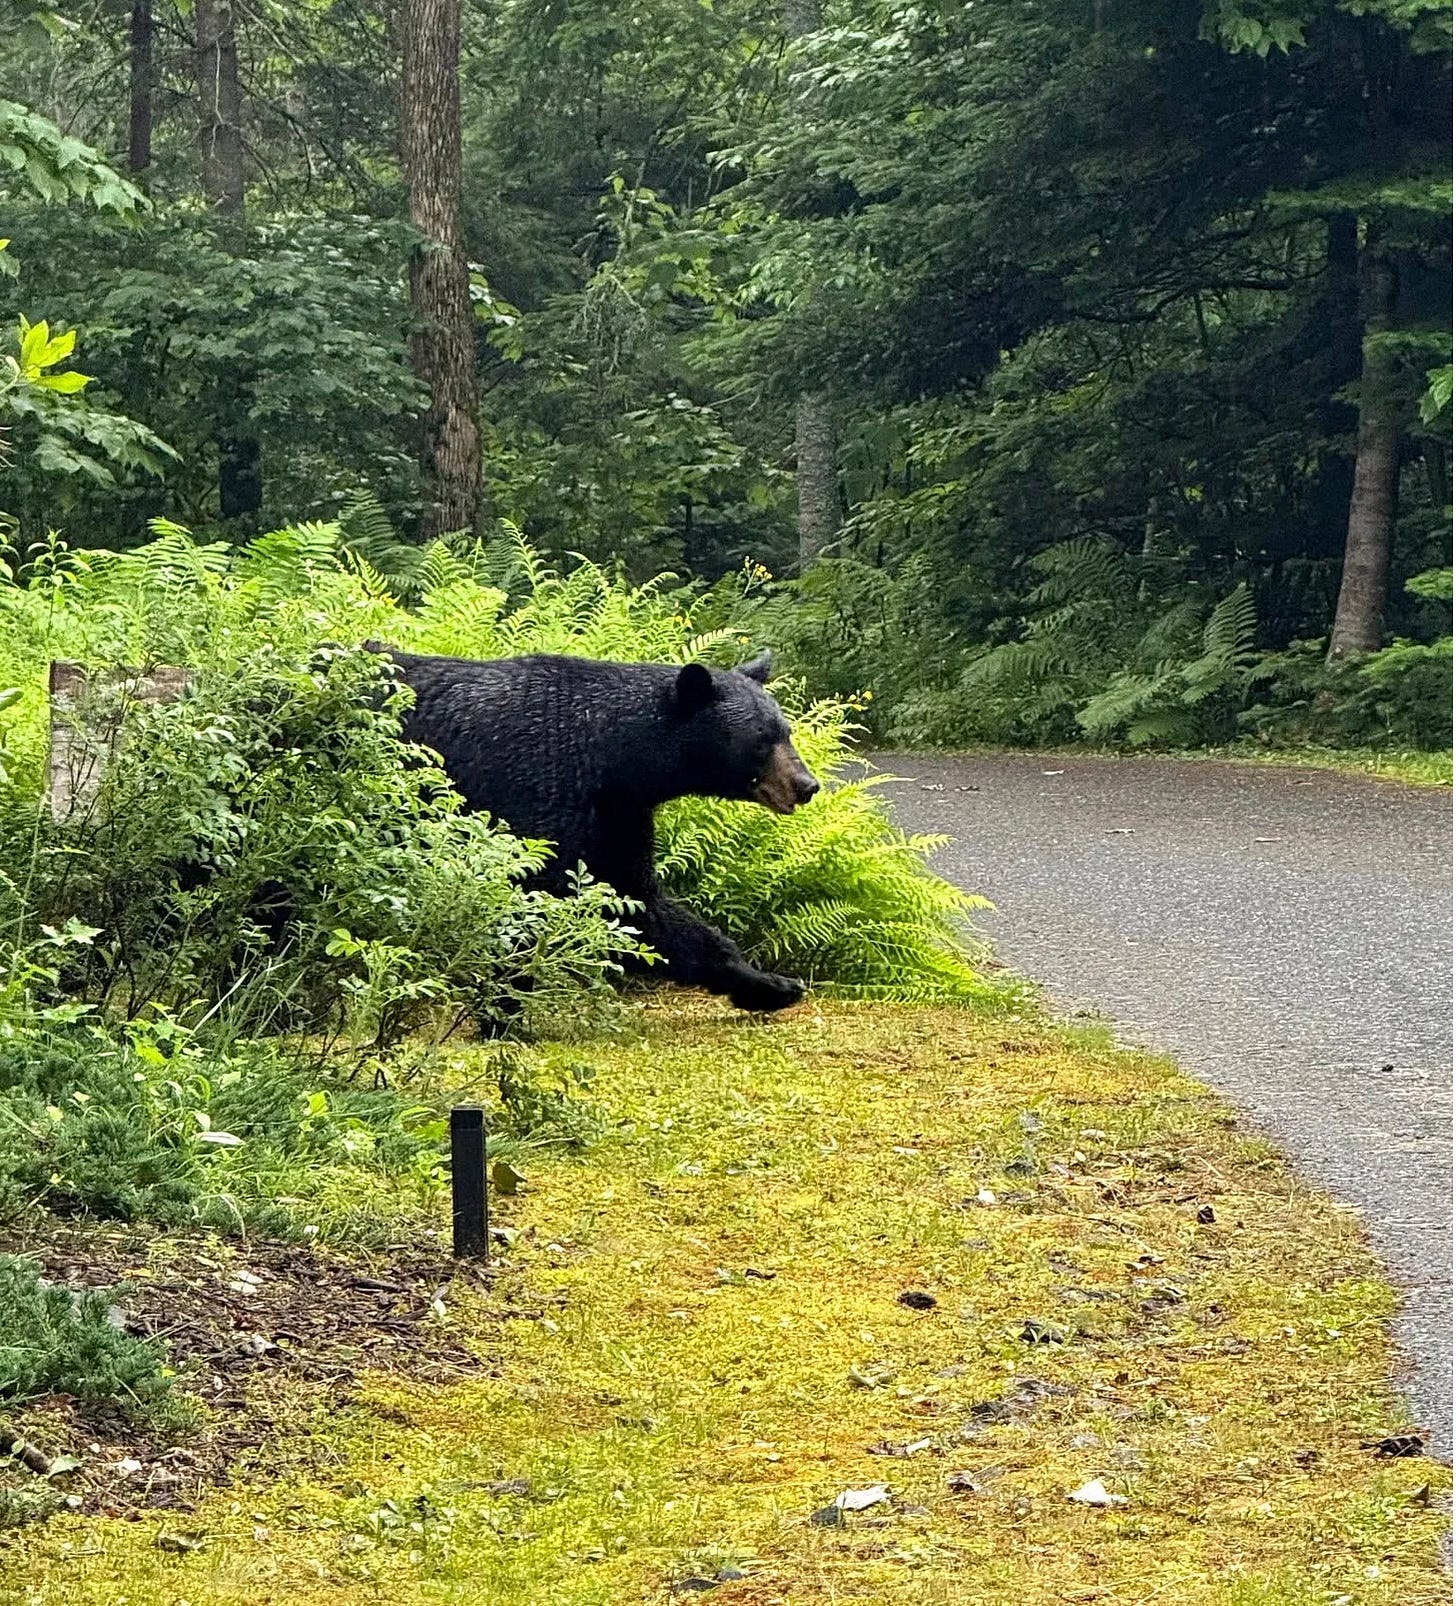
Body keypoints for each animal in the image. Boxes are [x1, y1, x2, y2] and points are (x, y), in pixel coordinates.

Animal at [370, 646, 820, 1012]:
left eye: (786, 731)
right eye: (760, 740)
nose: (806, 785)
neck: (612, 760)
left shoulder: (618, 815)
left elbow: (637, 900)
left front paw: (771, 985)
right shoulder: (536, 786)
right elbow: (530, 889)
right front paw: (504, 1008)